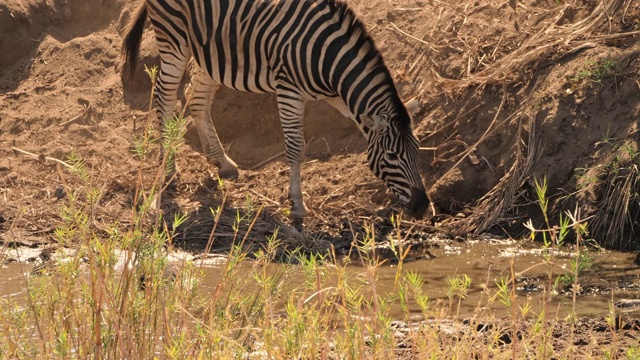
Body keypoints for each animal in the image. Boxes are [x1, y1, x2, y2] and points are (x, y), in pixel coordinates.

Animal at [122, 0, 428, 219]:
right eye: (391, 156)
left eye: (417, 150)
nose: (422, 205)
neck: (328, 59)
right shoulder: (288, 90)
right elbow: (295, 147)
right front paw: (297, 205)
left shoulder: (341, 97)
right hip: (174, 38)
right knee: (164, 97)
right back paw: (169, 166)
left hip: (210, 49)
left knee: (196, 98)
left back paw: (223, 162)